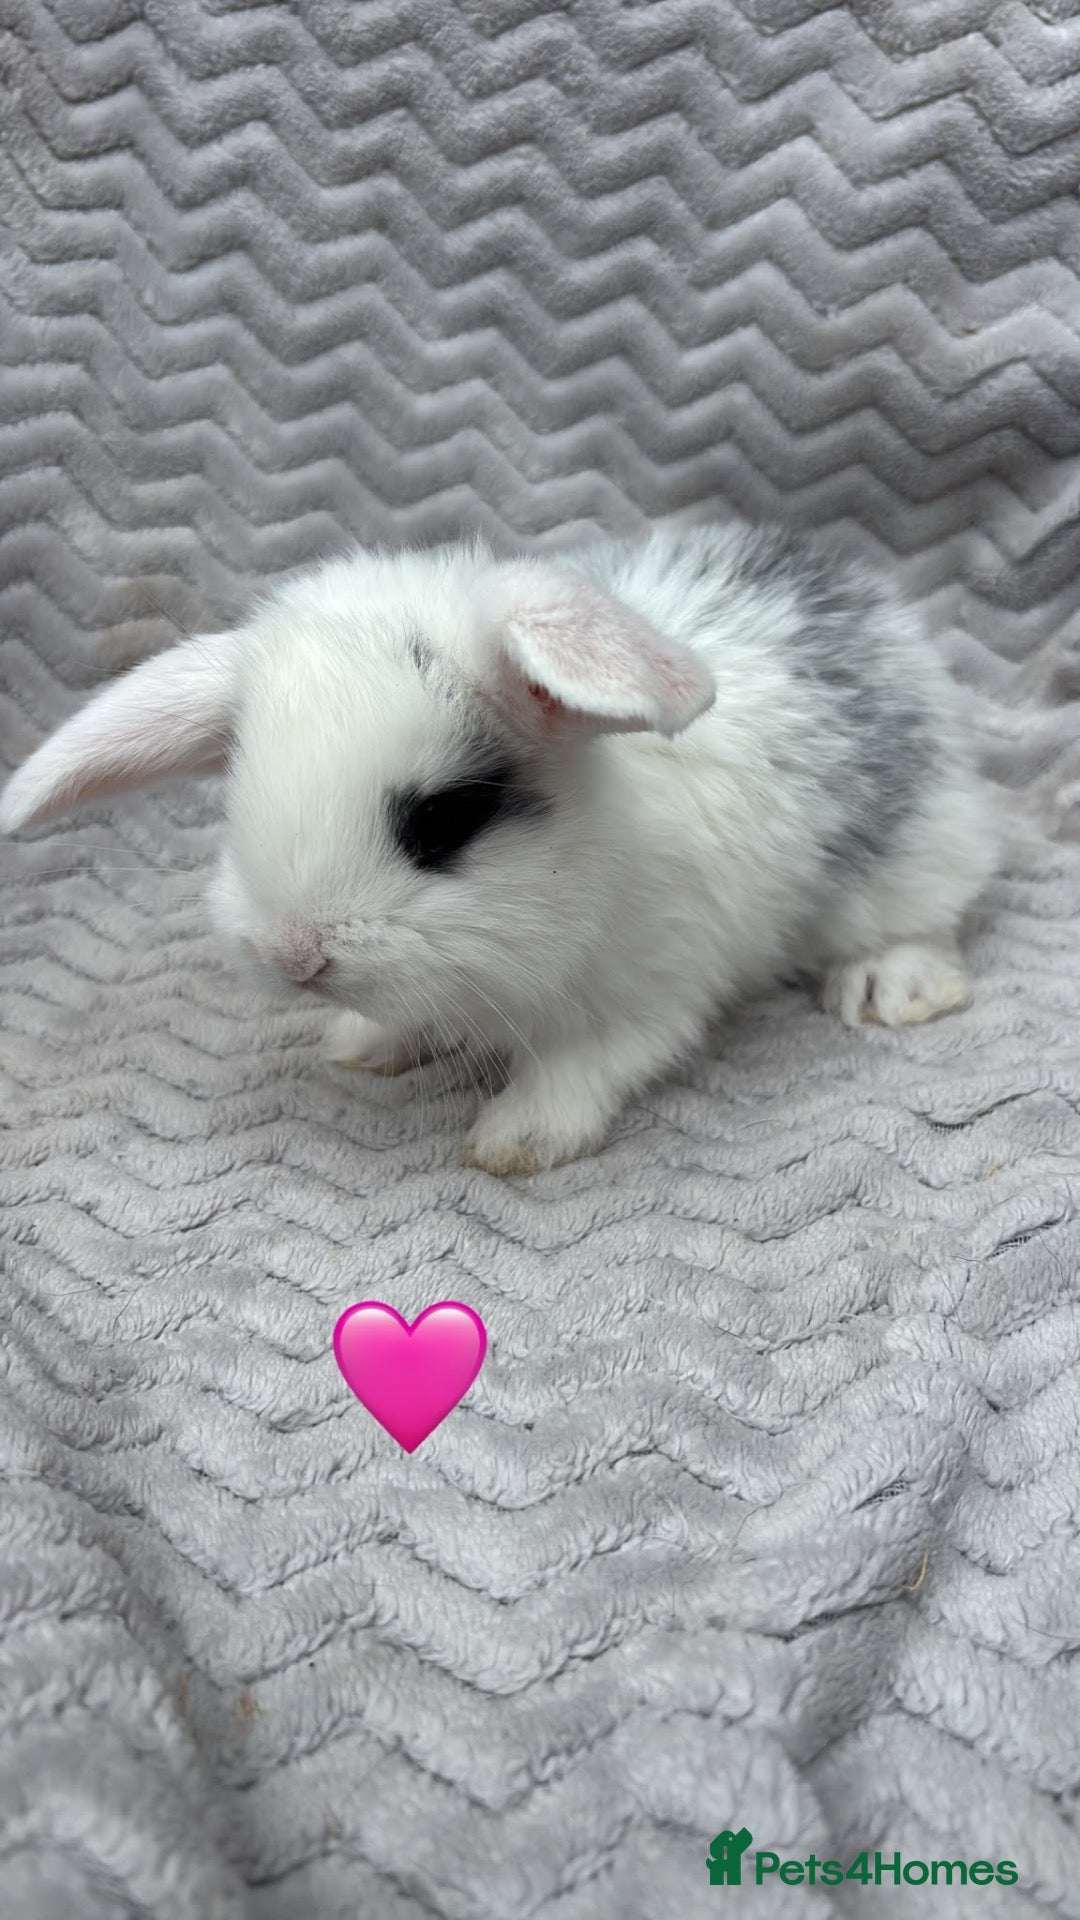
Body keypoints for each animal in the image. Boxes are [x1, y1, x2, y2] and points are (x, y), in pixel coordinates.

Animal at [0, 520, 999, 1175]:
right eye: (239, 793)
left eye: (443, 821)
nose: (294, 957)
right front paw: (363, 1045)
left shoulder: (650, 993)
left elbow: (584, 1067)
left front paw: (515, 1141)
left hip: (909, 857)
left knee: (928, 913)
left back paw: (889, 990)